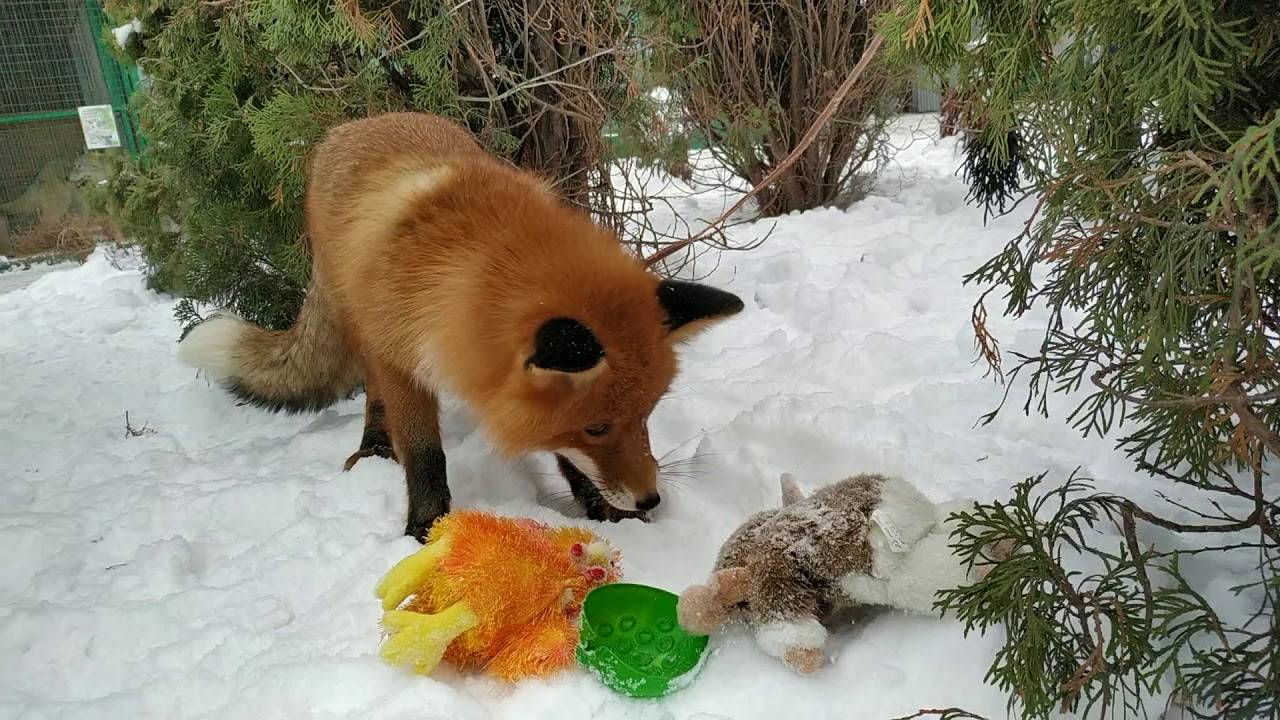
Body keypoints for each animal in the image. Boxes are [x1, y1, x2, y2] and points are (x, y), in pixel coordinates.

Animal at [177, 112, 742, 535]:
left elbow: (563, 455)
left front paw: (602, 510)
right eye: (598, 427)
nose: (650, 500)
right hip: (362, 326)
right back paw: (374, 447)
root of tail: (361, 123)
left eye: (647, 415)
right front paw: (425, 530)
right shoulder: (401, 359)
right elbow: (425, 455)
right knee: (372, 394)